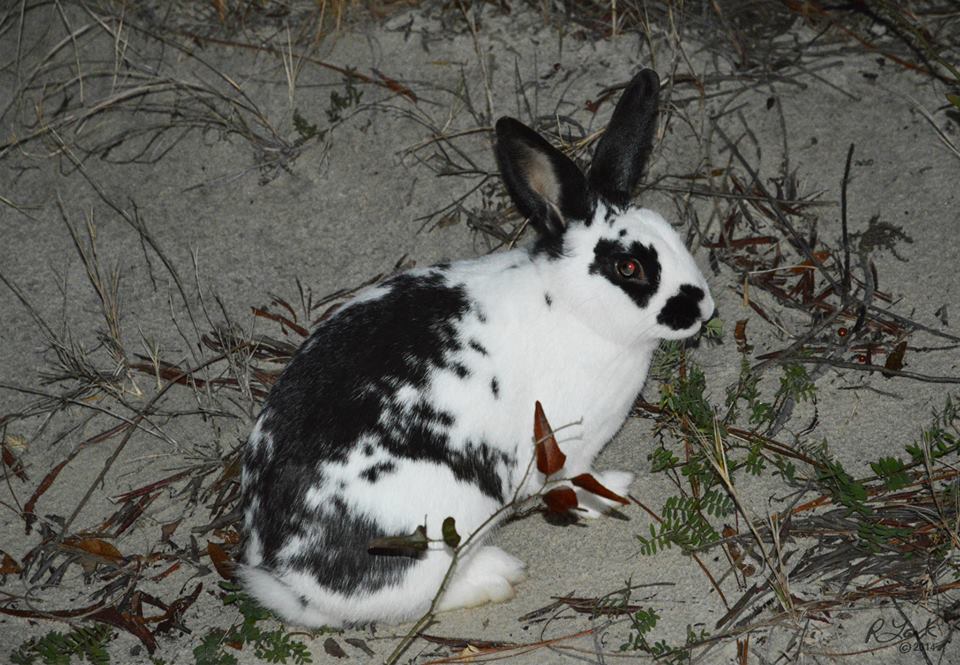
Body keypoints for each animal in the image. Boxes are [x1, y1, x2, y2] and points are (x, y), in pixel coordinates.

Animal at [239, 68, 715, 628]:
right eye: (629, 267)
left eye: (672, 236)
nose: (703, 308)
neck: (573, 306)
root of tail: (287, 584)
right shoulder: (566, 446)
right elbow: (576, 484)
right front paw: (614, 492)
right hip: (441, 529)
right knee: (422, 596)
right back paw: (498, 575)